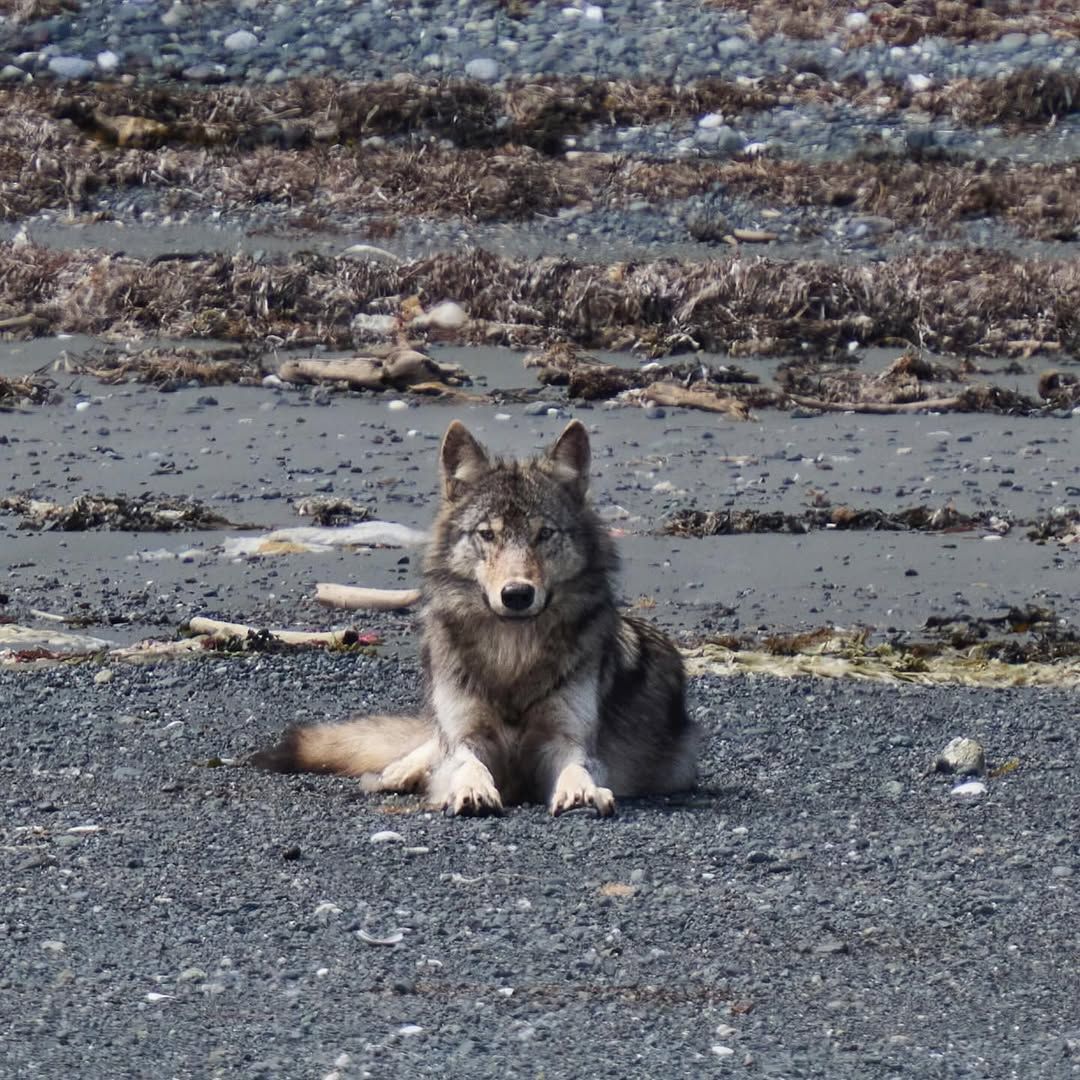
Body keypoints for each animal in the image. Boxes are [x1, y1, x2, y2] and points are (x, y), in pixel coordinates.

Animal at [252, 419, 697, 816]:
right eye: (487, 534)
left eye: (544, 534)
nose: (517, 595)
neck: (512, 654)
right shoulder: (469, 736)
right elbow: (466, 763)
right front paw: (470, 789)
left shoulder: (565, 740)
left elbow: (577, 766)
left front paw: (582, 791)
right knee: (430, 744)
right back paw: (401, 771)